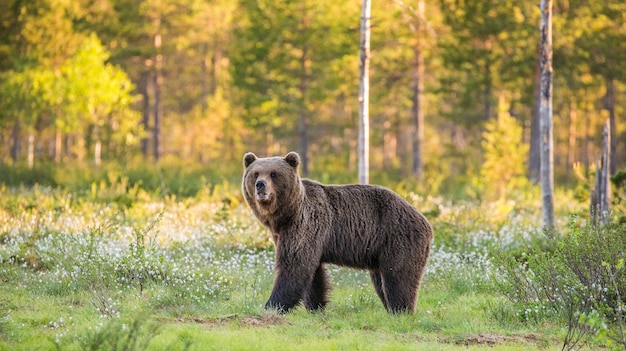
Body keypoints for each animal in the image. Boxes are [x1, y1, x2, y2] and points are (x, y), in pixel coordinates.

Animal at [241, 151, 432, 314]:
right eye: (255, 173)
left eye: (273, 173)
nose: (260, 185)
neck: (285, 216)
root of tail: (425, 221)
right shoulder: (287, 234)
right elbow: (314, 275)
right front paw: (316, 307)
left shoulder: (305, 225)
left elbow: (294, 265)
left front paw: (272, 305)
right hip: (380, 250)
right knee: (381, 280)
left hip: (397, 236)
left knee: (398, 276)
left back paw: (401, 310)